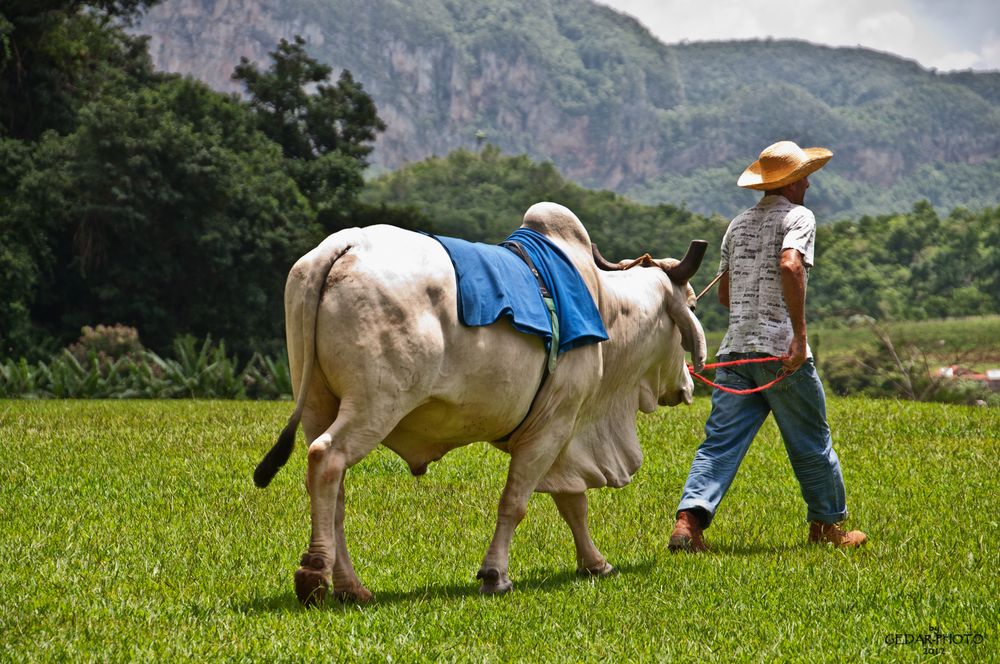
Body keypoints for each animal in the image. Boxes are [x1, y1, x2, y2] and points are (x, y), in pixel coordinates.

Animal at [254, 201, 708, 600]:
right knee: (326, 459)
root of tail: (345, 244)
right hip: (373, 407)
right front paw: (495, 575)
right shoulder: (555, 425)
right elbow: (517, 503)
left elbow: (572, 503)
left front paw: (594, 563)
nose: (688, 383)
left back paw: (351, 586)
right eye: (690, 303)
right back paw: (315, 574)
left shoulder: (563, 436)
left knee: (334, 493)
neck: (606, 310)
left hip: (317, 403)